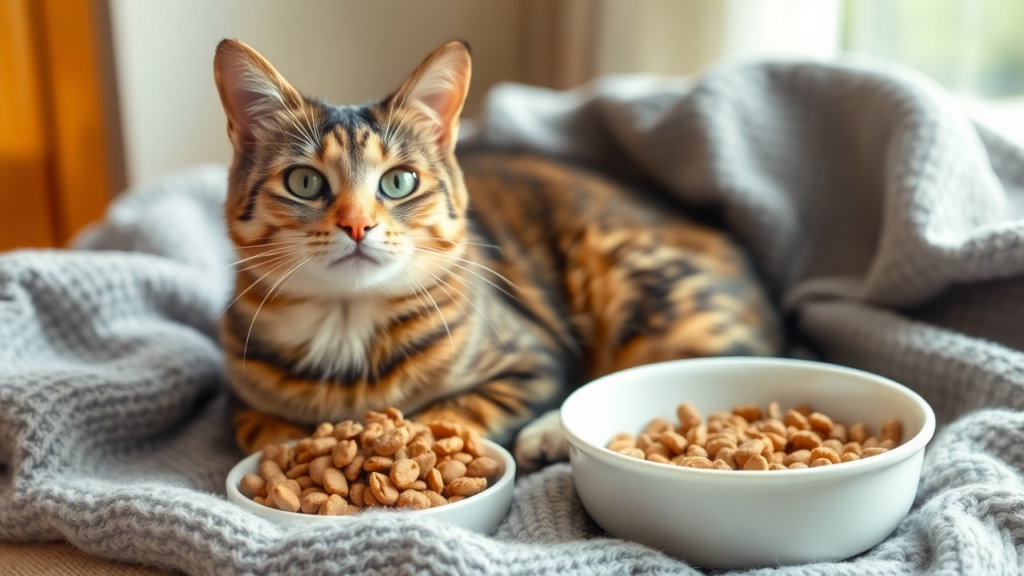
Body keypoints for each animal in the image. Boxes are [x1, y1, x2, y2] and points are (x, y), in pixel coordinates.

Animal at [211, 39, 778, 467]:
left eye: (398, 182)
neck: (345, 327)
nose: (357, 224)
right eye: (305, 182)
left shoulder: (533, 359)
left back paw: (549, 435)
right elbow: (261, 430)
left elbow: (457, 411)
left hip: (645, 289)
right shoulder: (239, 399)